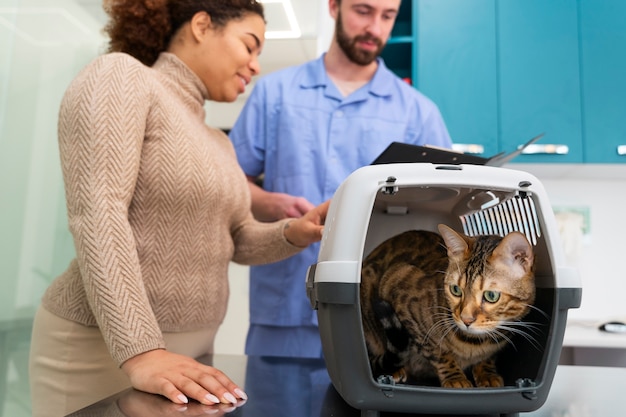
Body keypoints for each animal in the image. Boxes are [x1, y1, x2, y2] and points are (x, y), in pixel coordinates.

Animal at [358, 223, 532, 388]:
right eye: (455, 290)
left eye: (491, 296)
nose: (466, 320)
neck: (475, 343)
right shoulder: (398, 280)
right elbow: (438, 352)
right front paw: (455, 378)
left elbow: (488, 357)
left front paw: (487, 373)